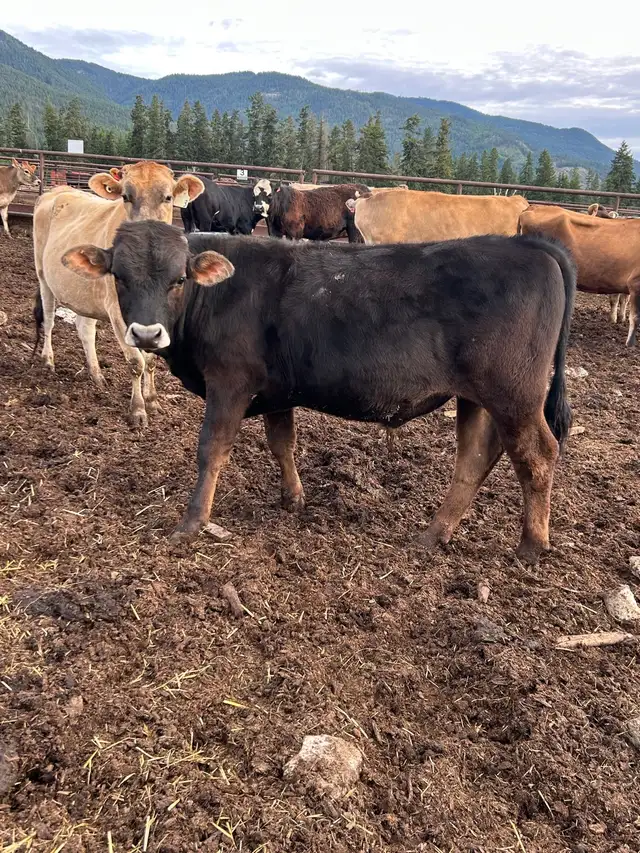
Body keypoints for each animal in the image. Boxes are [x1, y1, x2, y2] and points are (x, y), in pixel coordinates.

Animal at [33, 161, 204, 427]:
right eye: (125, 196)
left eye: (168, 197)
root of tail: (58, 190)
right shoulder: (117, 312)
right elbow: (136, 362)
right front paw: (138, 410)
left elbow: (151, 359)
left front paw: (152, 400)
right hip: (43, 276)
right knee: (49, 319)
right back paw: (48, 360)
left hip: (85, 293)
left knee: (85, 329)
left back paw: (96, 375)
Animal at [62, 220, 575, 565]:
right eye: (120, 276)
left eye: (178, 279)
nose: (146, 335)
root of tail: (526, 243)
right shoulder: (275, 390)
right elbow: (281, 443)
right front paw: (293, 499)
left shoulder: (229, 382)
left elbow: (212, 449)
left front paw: (191, 523)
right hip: (477, 397)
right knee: (474, 458)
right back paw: (434, 535)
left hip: (514, 395)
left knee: (537, 455)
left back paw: (532, 545)